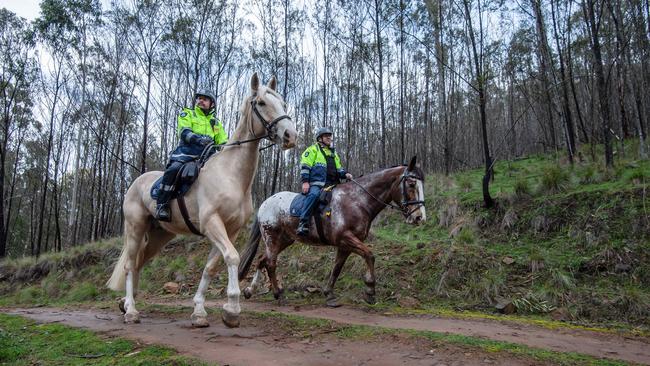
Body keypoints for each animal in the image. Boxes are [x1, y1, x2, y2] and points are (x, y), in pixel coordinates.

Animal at [238, 155, 426, 306]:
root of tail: (265, 203)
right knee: (270, 263)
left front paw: (329, 294)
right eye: (411, 183)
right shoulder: (346, 238)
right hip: (272, 237)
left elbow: (337, 268)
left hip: (285, 240)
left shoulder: (345, 245)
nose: (419, 217)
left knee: (262, 260)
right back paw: (278, 295)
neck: (357, 201)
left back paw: (249, 291)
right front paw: (370, 290)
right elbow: (370, 255)